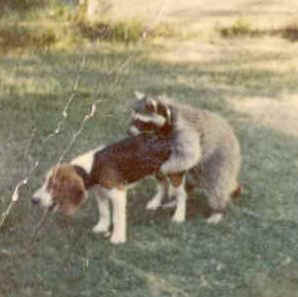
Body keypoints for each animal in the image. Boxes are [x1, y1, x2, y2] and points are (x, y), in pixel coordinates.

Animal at [128, 91, 242, 223]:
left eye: (139, 122)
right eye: (132, 120)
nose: (129, 133)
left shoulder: (184, 131)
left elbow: (188, 154)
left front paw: (163, 169)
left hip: (222, 158)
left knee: (217, 185)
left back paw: (218, 210)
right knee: (184, 181)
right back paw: (175, 199)